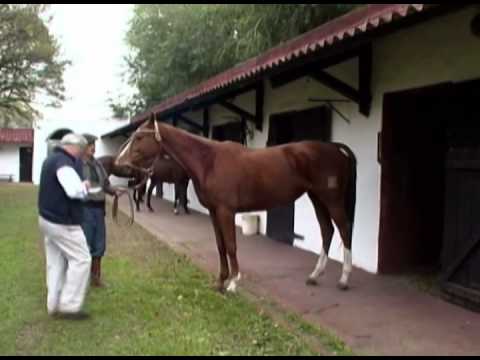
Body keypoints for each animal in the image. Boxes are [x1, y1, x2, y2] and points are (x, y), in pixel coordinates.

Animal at [115, 118, 356, 292]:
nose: (120, 162)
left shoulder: (226, 211)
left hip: (331, 199)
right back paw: (315, 275)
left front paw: (232, 282)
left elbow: (231, 245)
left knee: (344, 229)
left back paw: (344, 279)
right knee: (327, 230)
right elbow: (221, 246)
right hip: (317, 198)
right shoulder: (214, 212)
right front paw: (220, 281)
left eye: (139, 137)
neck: (209, 161)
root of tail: (335, 148)